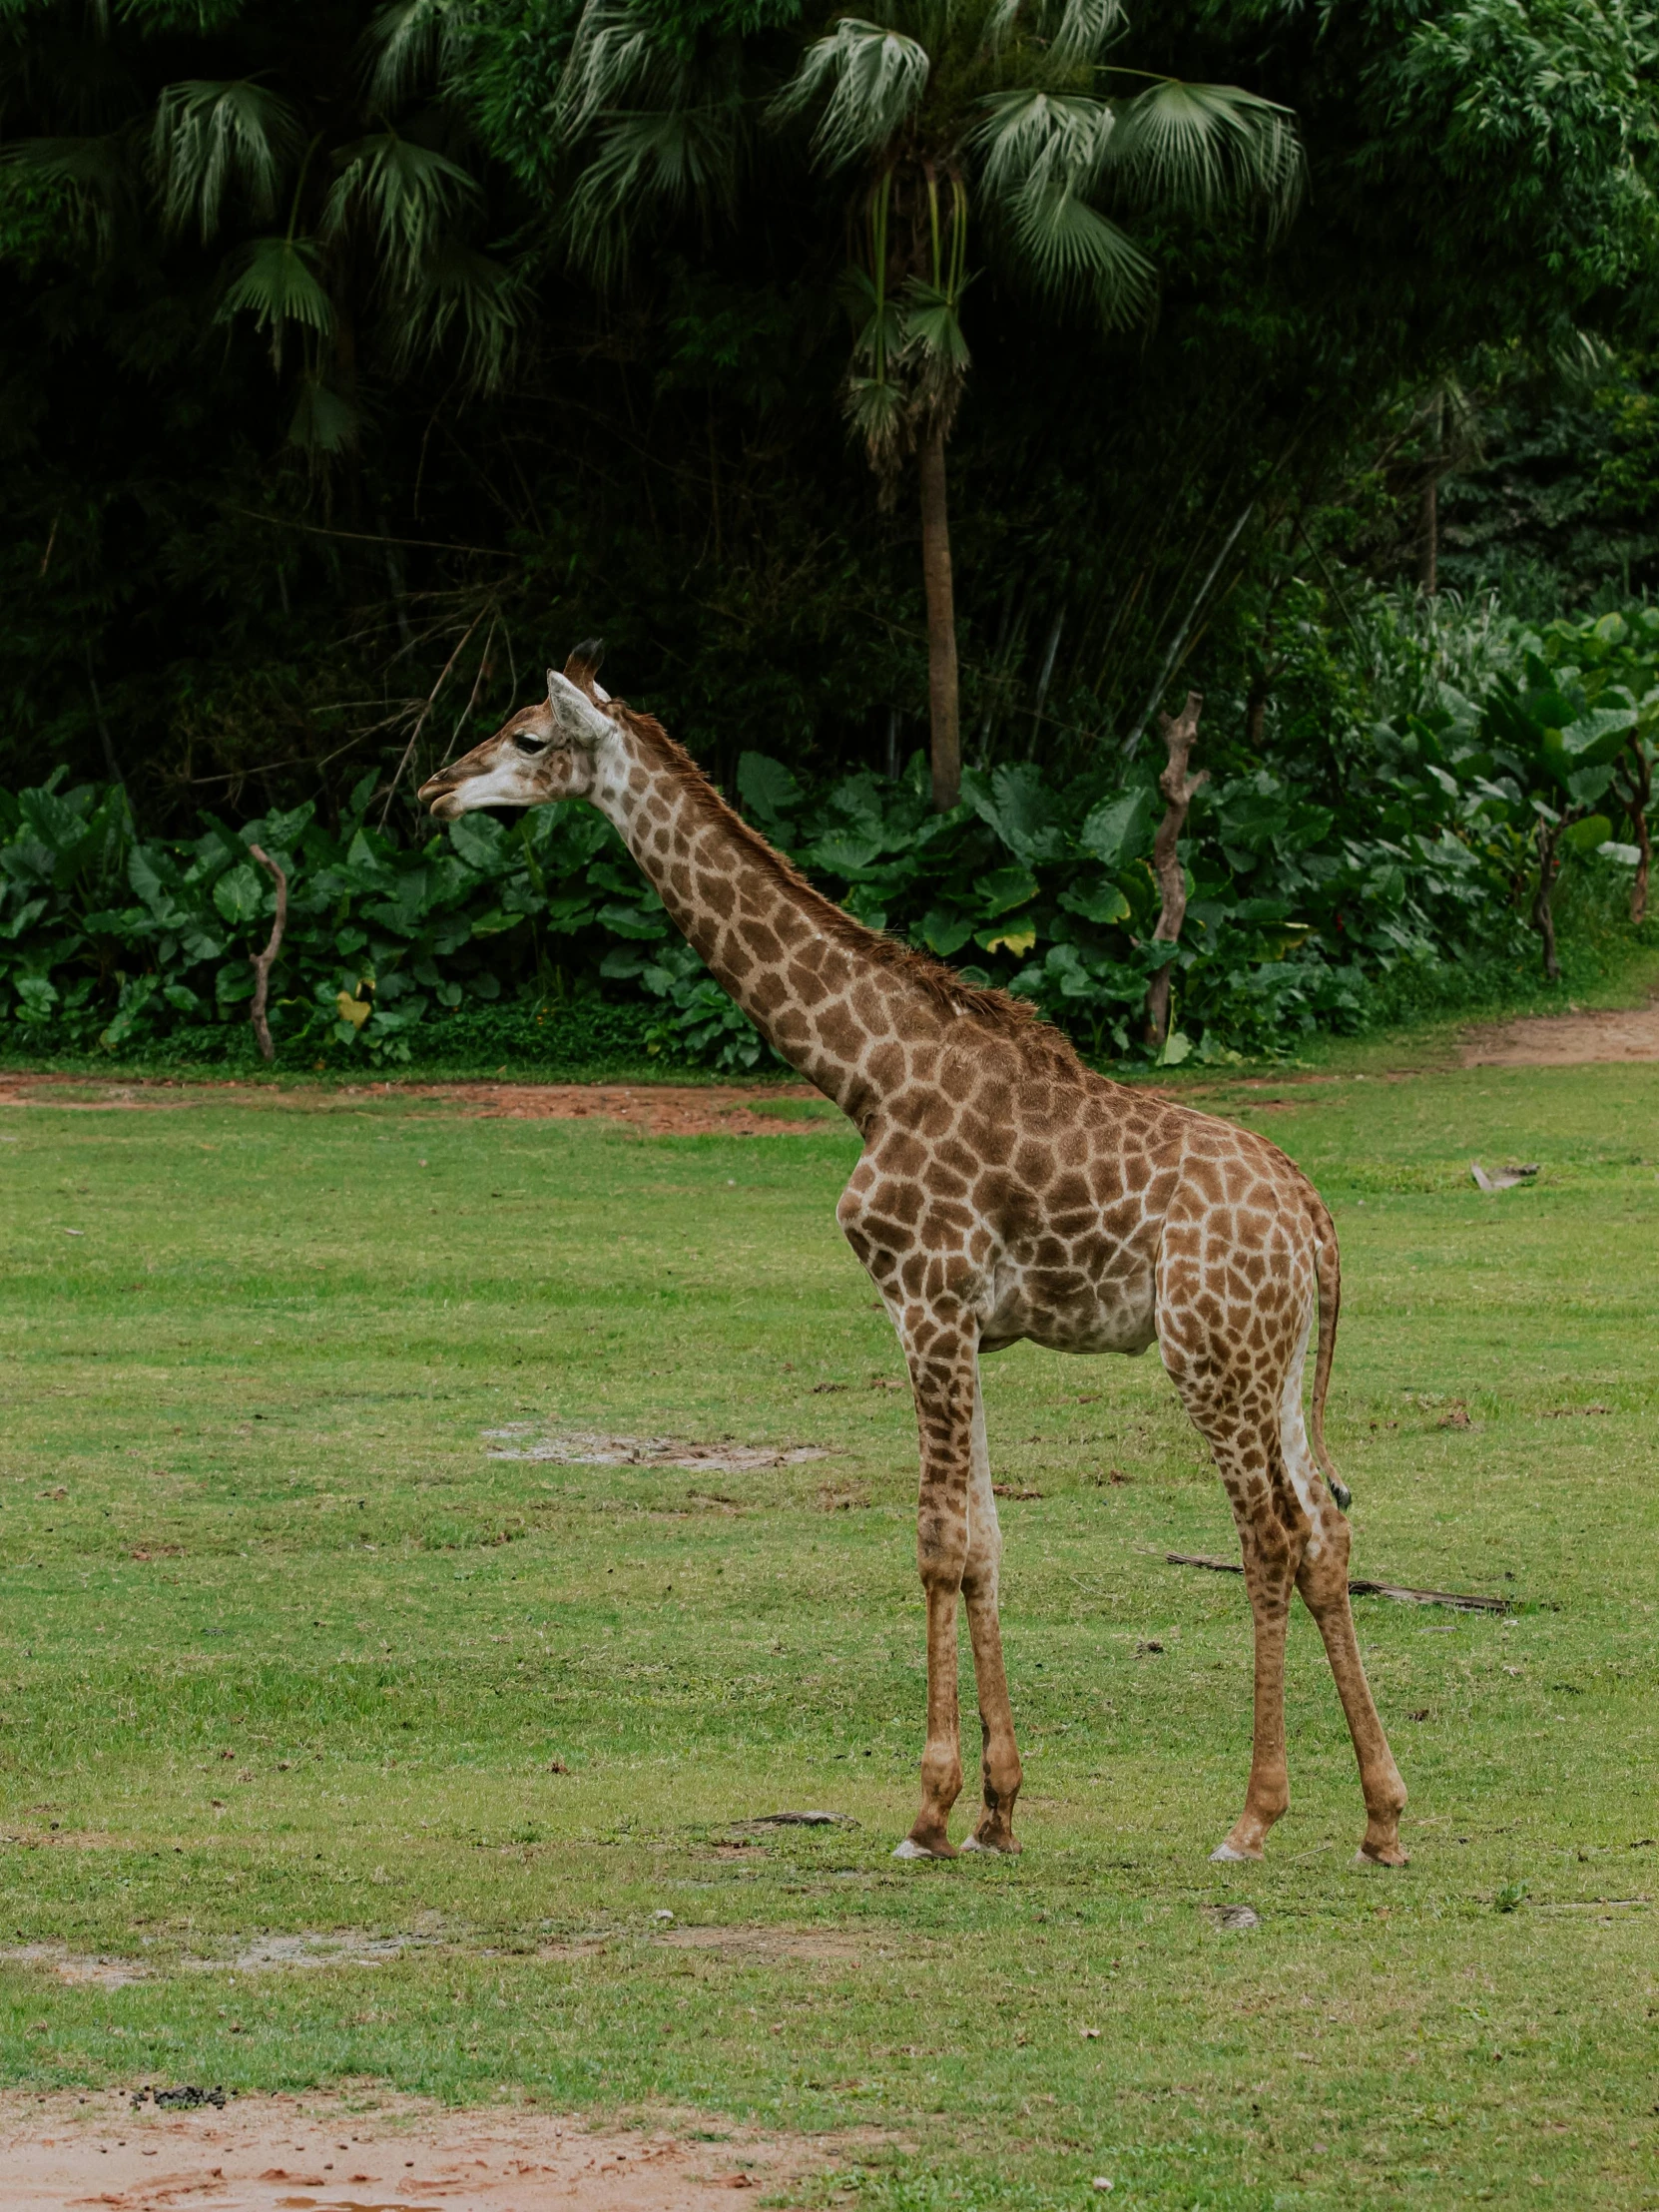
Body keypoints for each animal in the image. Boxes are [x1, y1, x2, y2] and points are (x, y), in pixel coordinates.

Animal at [422, 650, 1406, 1867]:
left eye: (525, 738)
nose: (435, 791)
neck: (865, 1078)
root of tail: (1314, 1218)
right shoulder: (967, 1325)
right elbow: (986, 1537)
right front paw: (997, 1809)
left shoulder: (924, 1301)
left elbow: (938, 1540)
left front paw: (929, 1810)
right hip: (1276, 1361)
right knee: (1328, 1530)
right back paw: (1382, 1818)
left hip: (1210, 1353)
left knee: (1268, 1534)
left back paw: (1253, 1816)